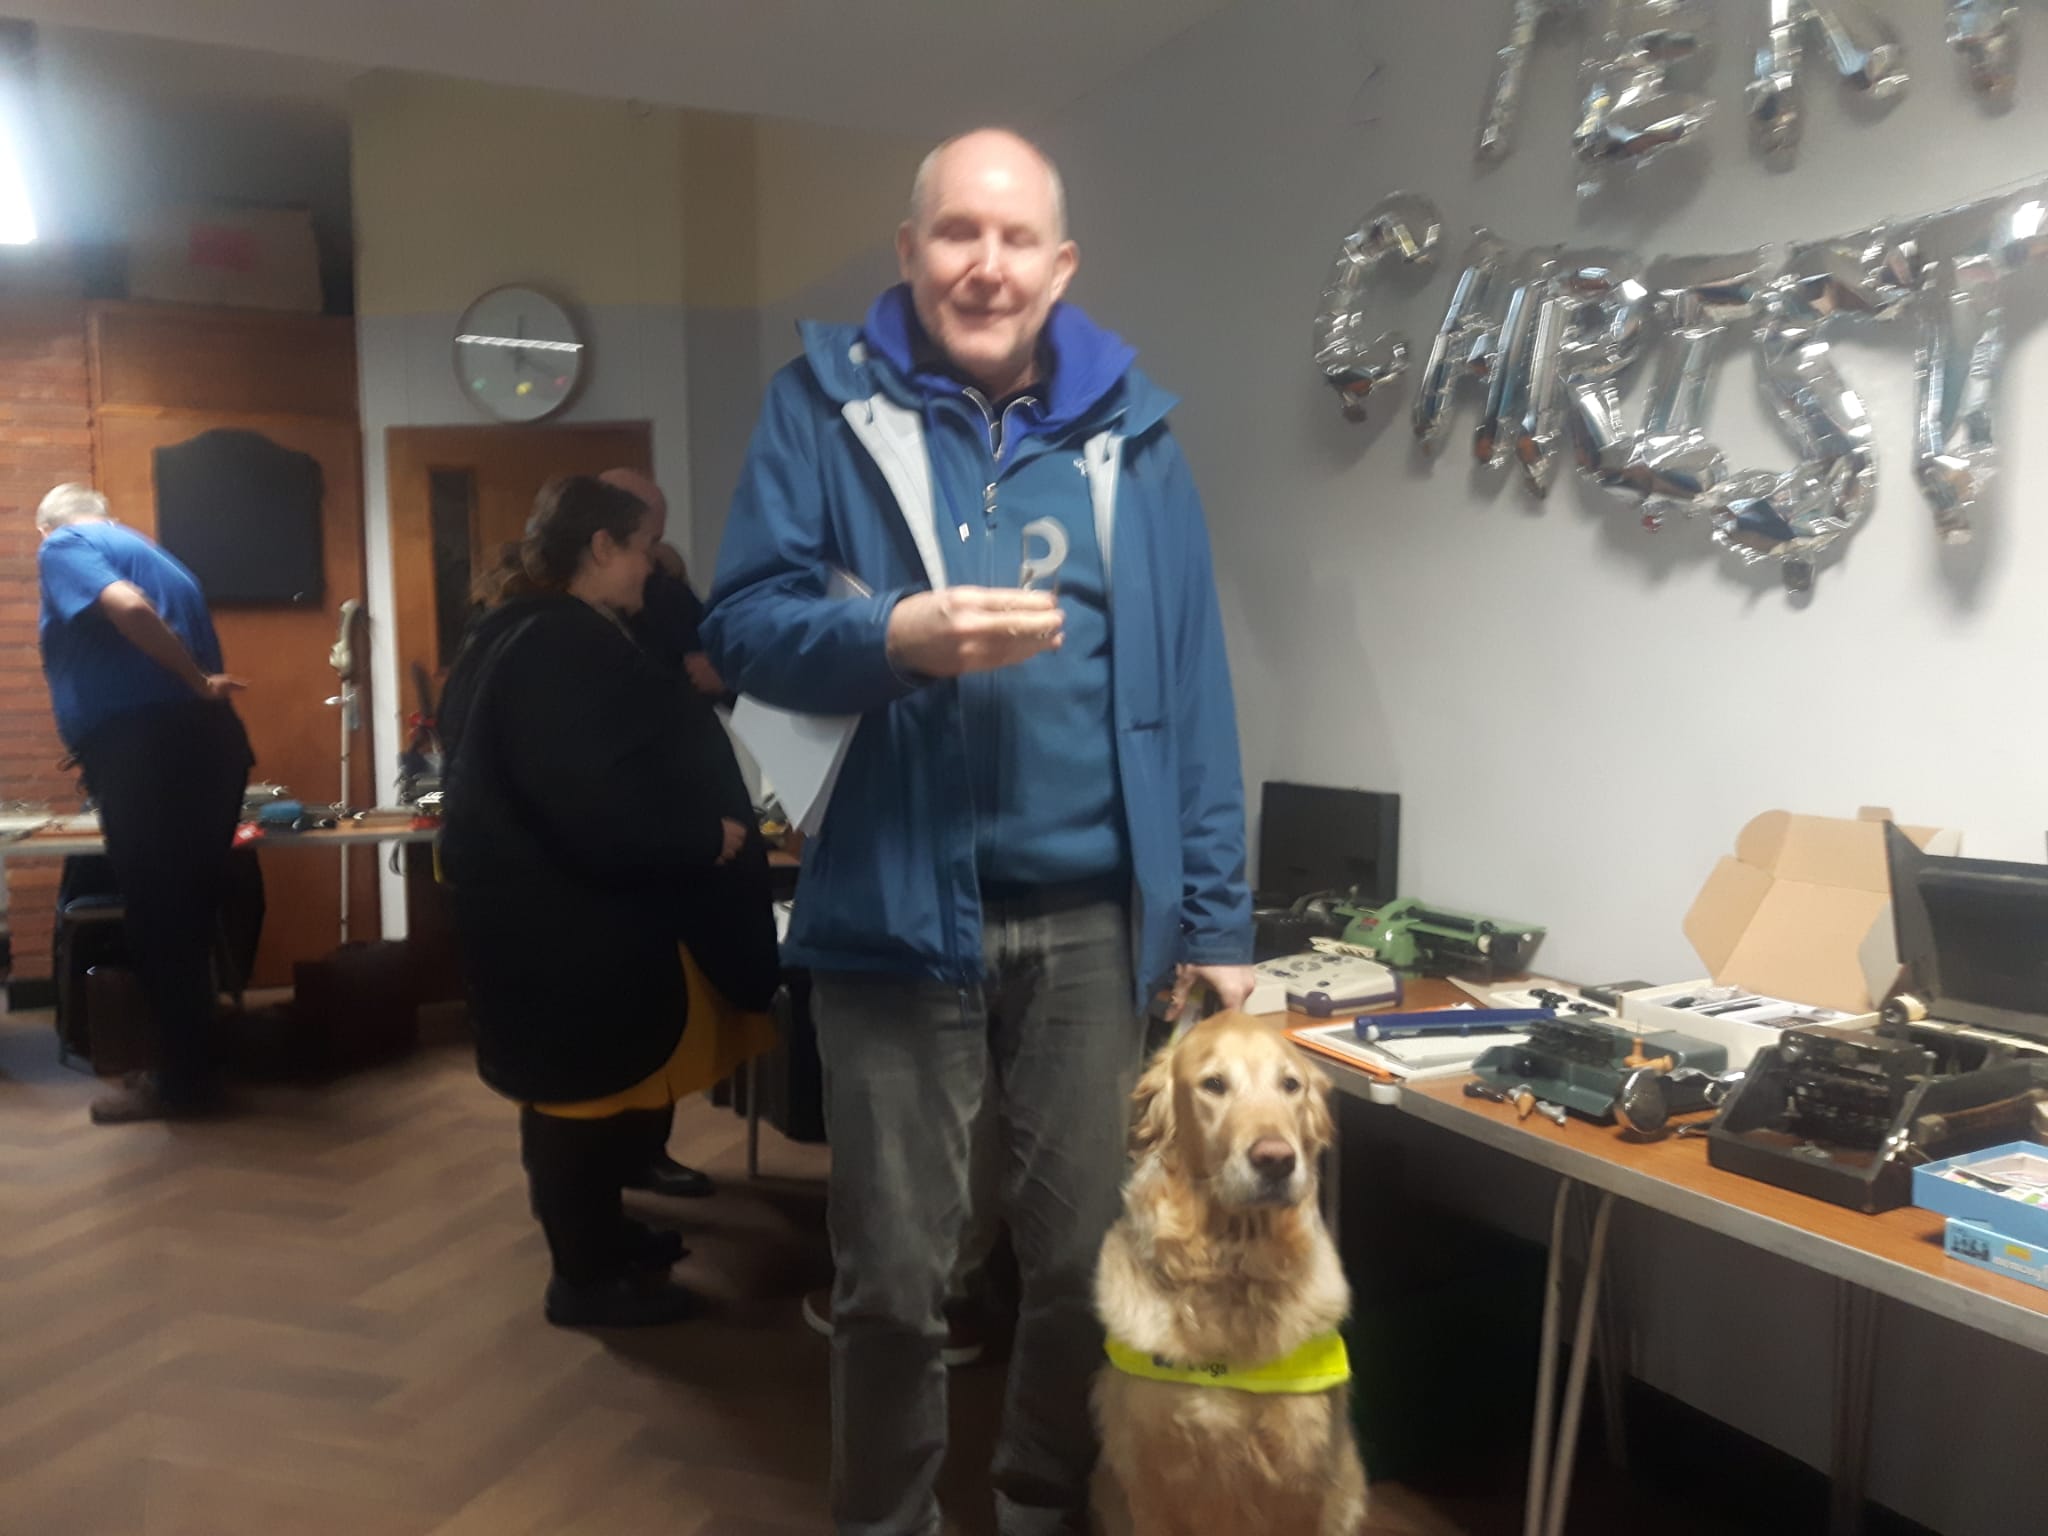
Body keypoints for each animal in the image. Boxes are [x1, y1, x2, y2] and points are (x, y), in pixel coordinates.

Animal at [1089, 1011, 1359, 1536]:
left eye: (1290, 1085)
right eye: (1213, 1084)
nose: (1276, 1159)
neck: (1228, 1268)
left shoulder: (1301, 1480)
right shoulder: (1149, 1479)